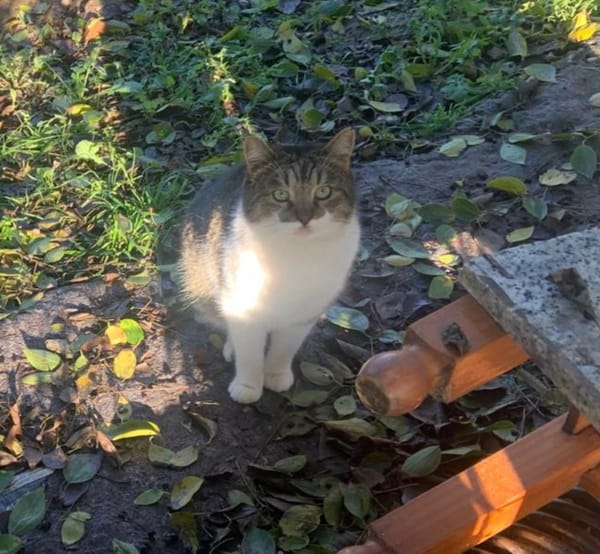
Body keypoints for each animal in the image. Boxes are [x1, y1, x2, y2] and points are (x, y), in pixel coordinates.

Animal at [178, 128, 360, 403]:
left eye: (323, 192)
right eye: (280, 195)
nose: (304, 218)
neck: (296, 255)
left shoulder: (303, 314)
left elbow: (284, 348)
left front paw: (276, 376)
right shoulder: (242, 306)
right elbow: (249, 353)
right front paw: (248, 387)